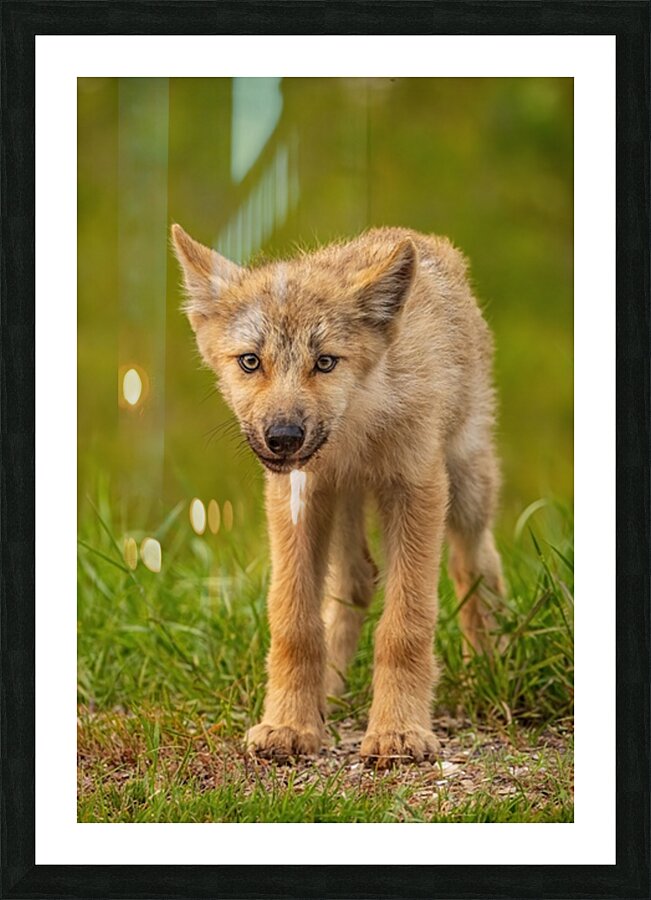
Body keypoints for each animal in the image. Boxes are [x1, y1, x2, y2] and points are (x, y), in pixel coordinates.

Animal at [172, 224, 504, 766]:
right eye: (251, 362)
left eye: (325, 362)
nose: (283, 437)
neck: (357, 435)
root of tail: (416, 237)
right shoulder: (297, 499)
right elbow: (295, 622)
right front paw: (290, 722)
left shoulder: (417, 490)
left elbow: (405, 624)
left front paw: (399, 730)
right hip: (343, 506)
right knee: (356, 581)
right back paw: (328, 694)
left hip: (467, 489)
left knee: (475, 565)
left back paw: (489, 668)